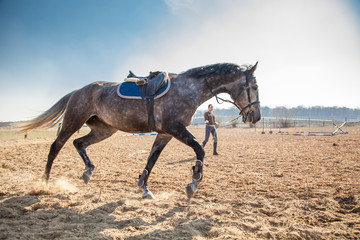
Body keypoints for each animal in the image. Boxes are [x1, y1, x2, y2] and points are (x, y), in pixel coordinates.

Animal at [19, 62, 260, 199]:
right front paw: (193, 181)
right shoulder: (175, 129)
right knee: (55, 147)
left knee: (79, 143)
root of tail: (78, 91)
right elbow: (199, 151)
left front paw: (144, 188)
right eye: (255, 86)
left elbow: (151, 160)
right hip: (73, 122)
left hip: (104, 130)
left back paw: (88, 171)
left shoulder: (165, 134)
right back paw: (44, 183)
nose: (255, 116)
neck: (188, 89)